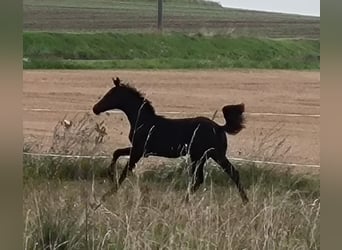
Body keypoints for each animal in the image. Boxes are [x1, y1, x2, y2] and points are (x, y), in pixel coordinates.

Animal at [93, 77, 248, 203]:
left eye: (110, 94)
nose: (95, 108)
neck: (143, 121)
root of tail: (220, 127)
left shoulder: (138, 151)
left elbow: (125, 171)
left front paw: (107, 194)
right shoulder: (140, 149)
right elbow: (117, 152)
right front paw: (110, 174)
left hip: (204, 156)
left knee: (204, 178)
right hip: (206, 156)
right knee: (219, 176)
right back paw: (244, 201)